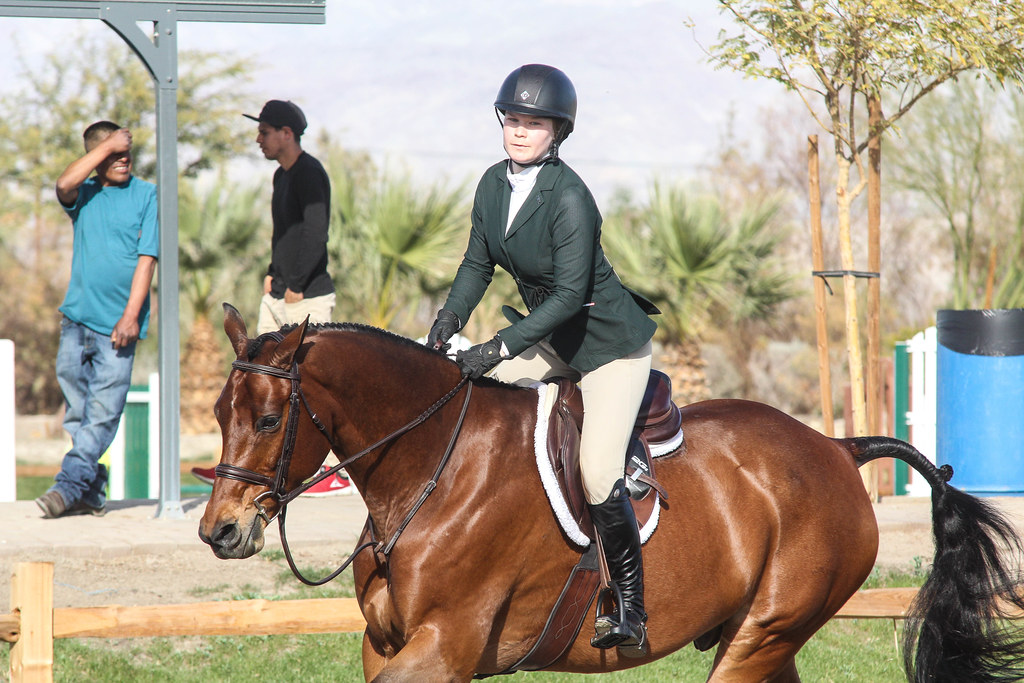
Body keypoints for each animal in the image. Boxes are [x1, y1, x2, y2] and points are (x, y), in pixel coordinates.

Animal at [199, 304, 1024, 682]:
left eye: (269, 419)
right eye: (216, 412)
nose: (219, 532)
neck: (430, 467)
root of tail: (837, 448)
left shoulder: (445, 644)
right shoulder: (388, 645)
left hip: (764, 629)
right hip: (759, 635)